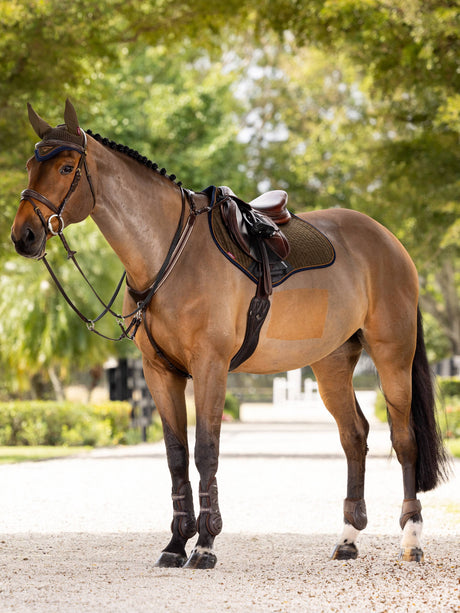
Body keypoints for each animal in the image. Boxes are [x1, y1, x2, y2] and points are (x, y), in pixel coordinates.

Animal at [11, 99, 450, 568]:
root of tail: (389, 241)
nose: (24, 235)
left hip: (392, 355)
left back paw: (412, 539)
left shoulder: (211, 366)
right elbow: (176, 456)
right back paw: (348, 539)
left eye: (65, 167)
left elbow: (206, 450)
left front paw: (205, 544)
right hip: (331, 363)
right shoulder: (159, 372)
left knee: (404, 440)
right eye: (30, 165)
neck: (170, 252)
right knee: (354, 437)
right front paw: (175, 544)